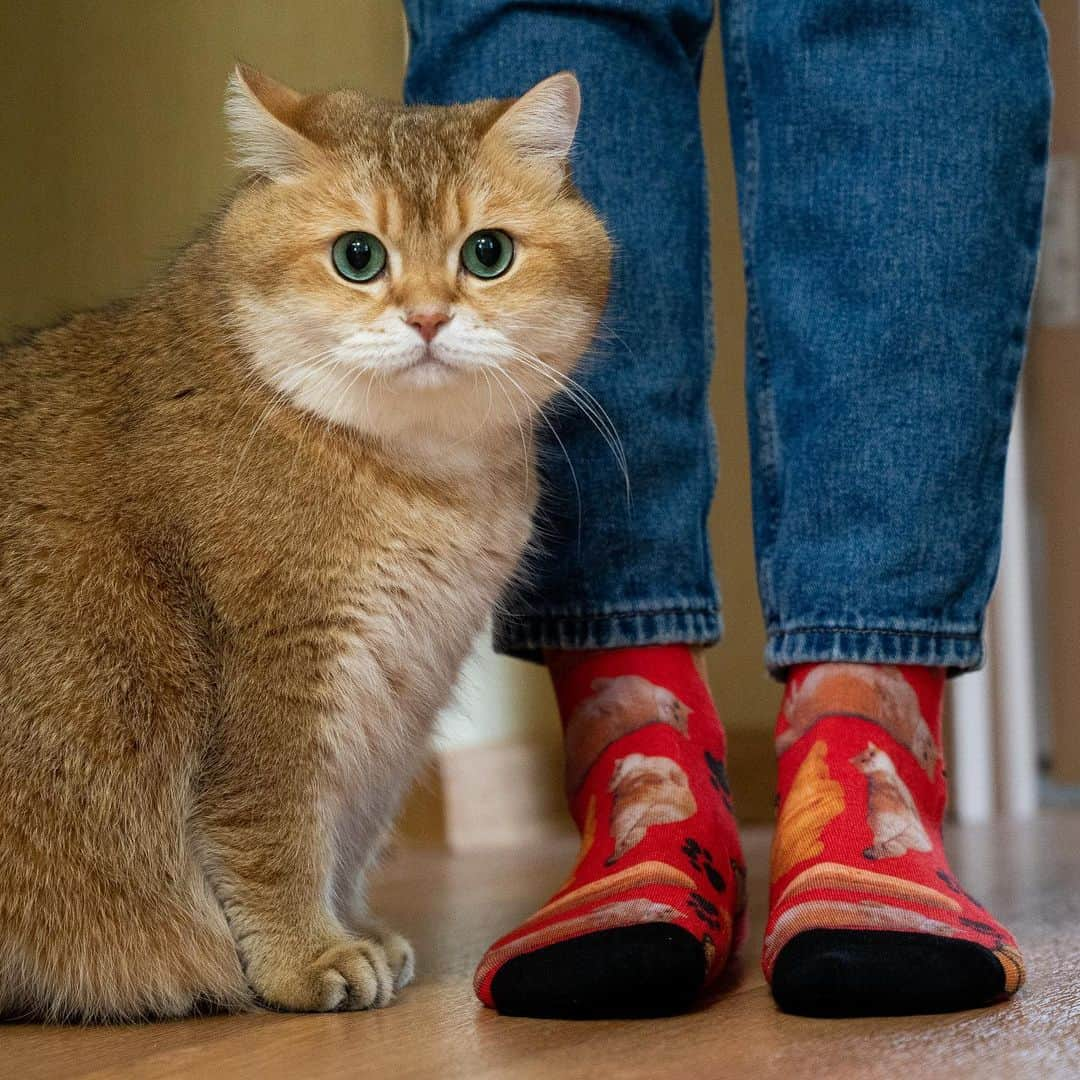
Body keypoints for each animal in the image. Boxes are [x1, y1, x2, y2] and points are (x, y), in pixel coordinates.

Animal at [777, 665, 937, 777]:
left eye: (926, 756)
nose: (931, 775)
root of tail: (799, 728)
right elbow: (893, 676)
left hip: (803, 706)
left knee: (790, 708)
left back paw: (793, 689)